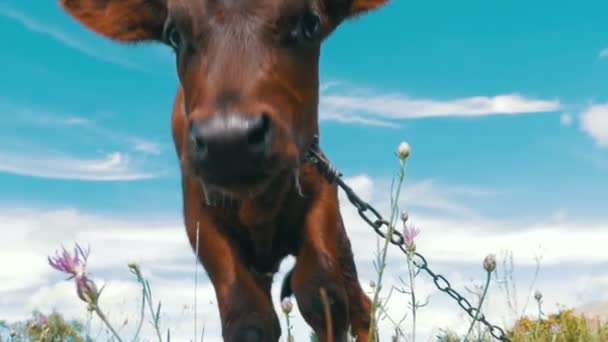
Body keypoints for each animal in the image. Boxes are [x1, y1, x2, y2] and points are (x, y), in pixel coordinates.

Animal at [58, 0, 390, 340]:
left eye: (310, 23)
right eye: (174, 34)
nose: (229, 141)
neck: (259, 203)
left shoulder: (322, 188)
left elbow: (322, 294)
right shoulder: (199, 218)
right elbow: (248, 317)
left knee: (359, 305)